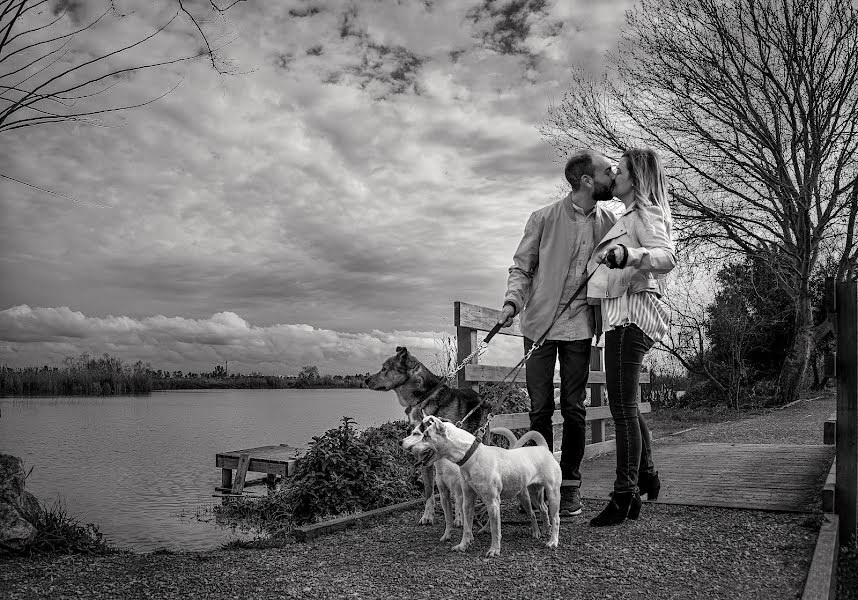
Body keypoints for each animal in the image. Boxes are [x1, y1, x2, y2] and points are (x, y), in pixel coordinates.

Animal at [362, 346, 484, 524]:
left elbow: (457, 492)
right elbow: (428, 491)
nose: (366, 380)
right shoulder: (424, 456)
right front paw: (428, 515)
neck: (423, 399)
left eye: (384, 369)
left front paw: (459, 518)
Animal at [402, 412, 560, 556]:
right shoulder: (467, 500)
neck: (471, 455)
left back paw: (552, 541)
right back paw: (543, 531)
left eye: (425, 435)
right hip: (533, 493)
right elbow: (467, 527)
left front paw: (494, 550)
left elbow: (496, 530)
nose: (408, 447)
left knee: (554, 518)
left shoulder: (492, 502)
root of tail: (544, 448)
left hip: (550, 494)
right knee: (541, 510)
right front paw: (463, 545)